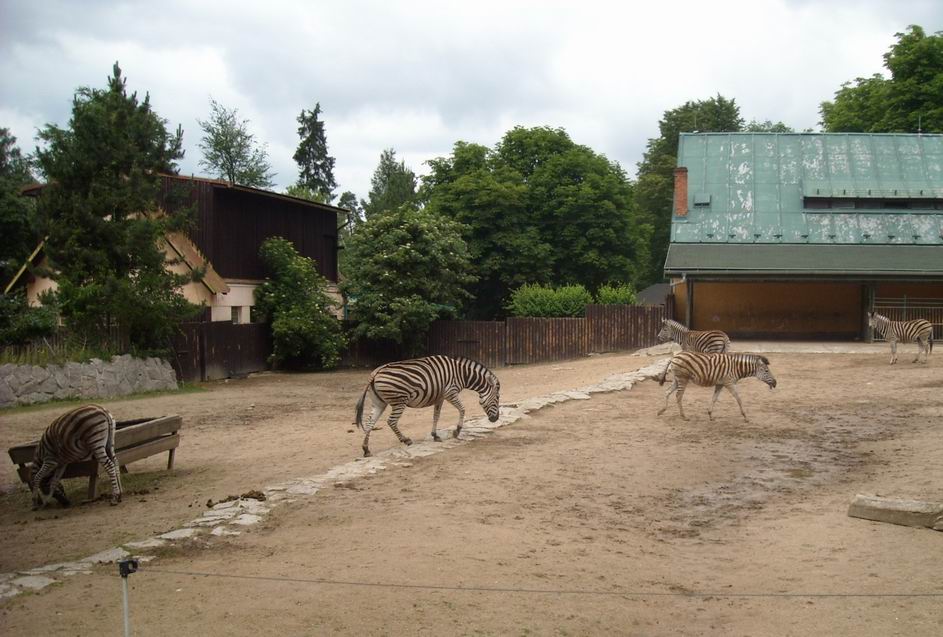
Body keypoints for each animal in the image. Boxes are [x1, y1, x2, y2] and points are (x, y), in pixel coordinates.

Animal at [354, 352, 502, 458]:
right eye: (497, 397)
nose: (496, 419)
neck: (462, 374)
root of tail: (375, 373)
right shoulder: (450, 393)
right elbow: (462, 409)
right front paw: (457, 431)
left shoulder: (440, 397)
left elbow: (436, 416)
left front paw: (435, 435)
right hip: (399, 401)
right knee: (391, 421)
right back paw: (406, 440)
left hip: (379, 403)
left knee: (370, 423)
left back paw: (366, 449)